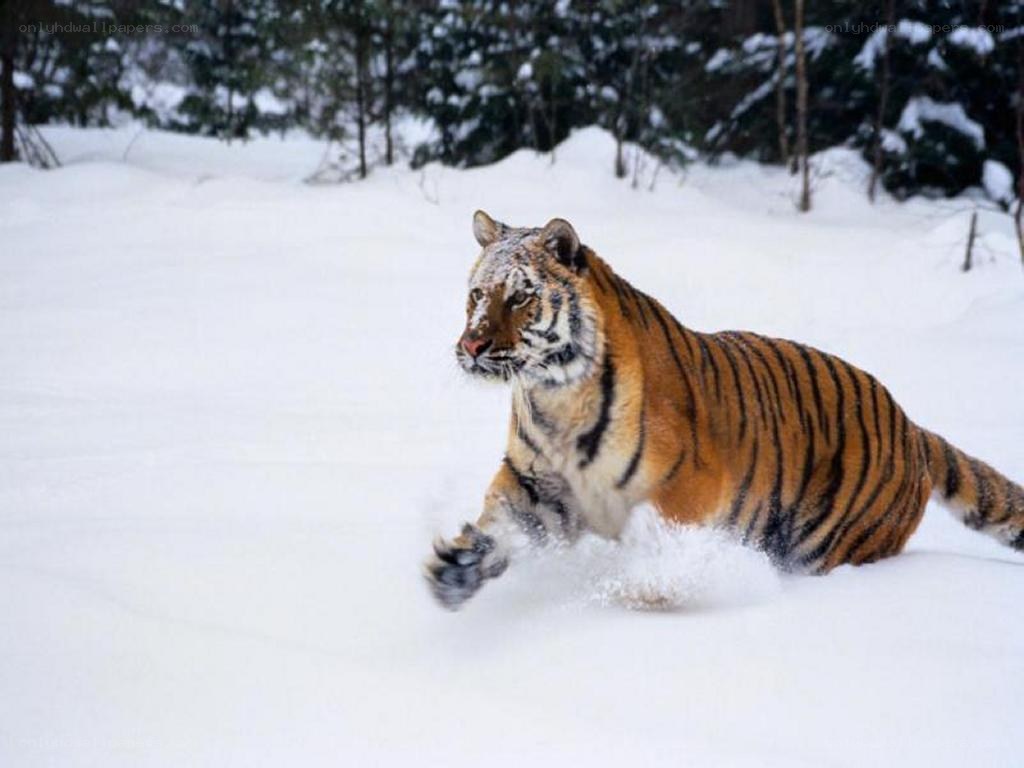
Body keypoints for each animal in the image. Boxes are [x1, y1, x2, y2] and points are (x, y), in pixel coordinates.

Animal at [424, 210, 1024, 610]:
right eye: (477, 294)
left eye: (520, 297)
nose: (471, 345)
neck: (554, 394)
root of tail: (912, 426)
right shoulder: (536, 483)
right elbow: (502, 526)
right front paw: (456, 570)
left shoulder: (686, 488)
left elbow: (660, 548)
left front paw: (644, 591)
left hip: (831, 543)